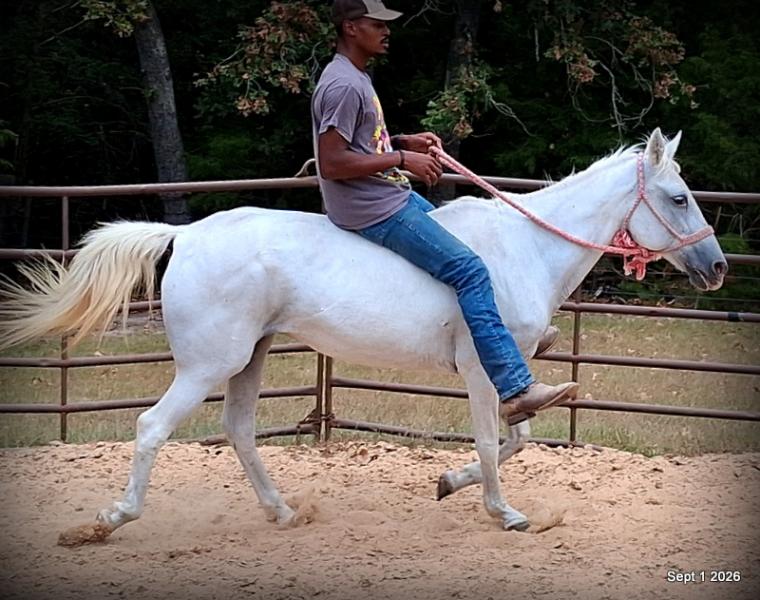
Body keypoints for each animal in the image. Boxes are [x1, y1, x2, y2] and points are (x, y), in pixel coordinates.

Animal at [0, 129, 726, 537]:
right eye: (679, 197)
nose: (718, 266)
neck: (524, 247)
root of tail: (186, 235)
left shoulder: (505, 370)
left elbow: (517, 438)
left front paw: (450, 484)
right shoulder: (481, 368)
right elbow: (494, 444)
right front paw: (506, 514)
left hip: (248, 358)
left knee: (239, 431)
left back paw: (282, 513)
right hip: (209, 364)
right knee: (152, 427)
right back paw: (111, 520)